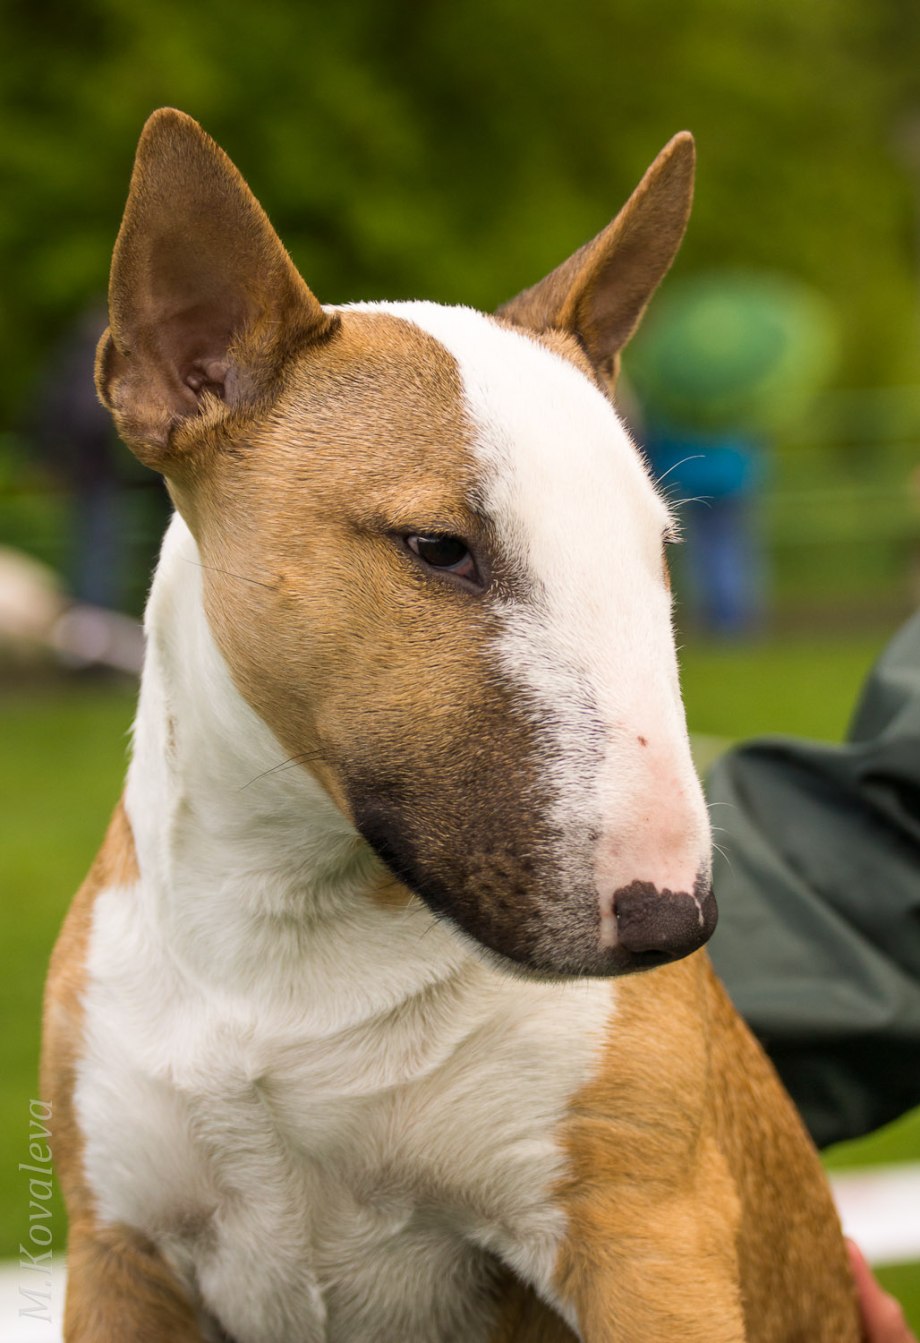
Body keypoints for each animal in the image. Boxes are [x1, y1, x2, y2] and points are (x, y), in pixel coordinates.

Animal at [41, 110, 859, 1337]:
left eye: (655, 552)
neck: (296, 931)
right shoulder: (116, 1256)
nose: (670, 921)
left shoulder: (648, 1233)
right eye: (438, 548)